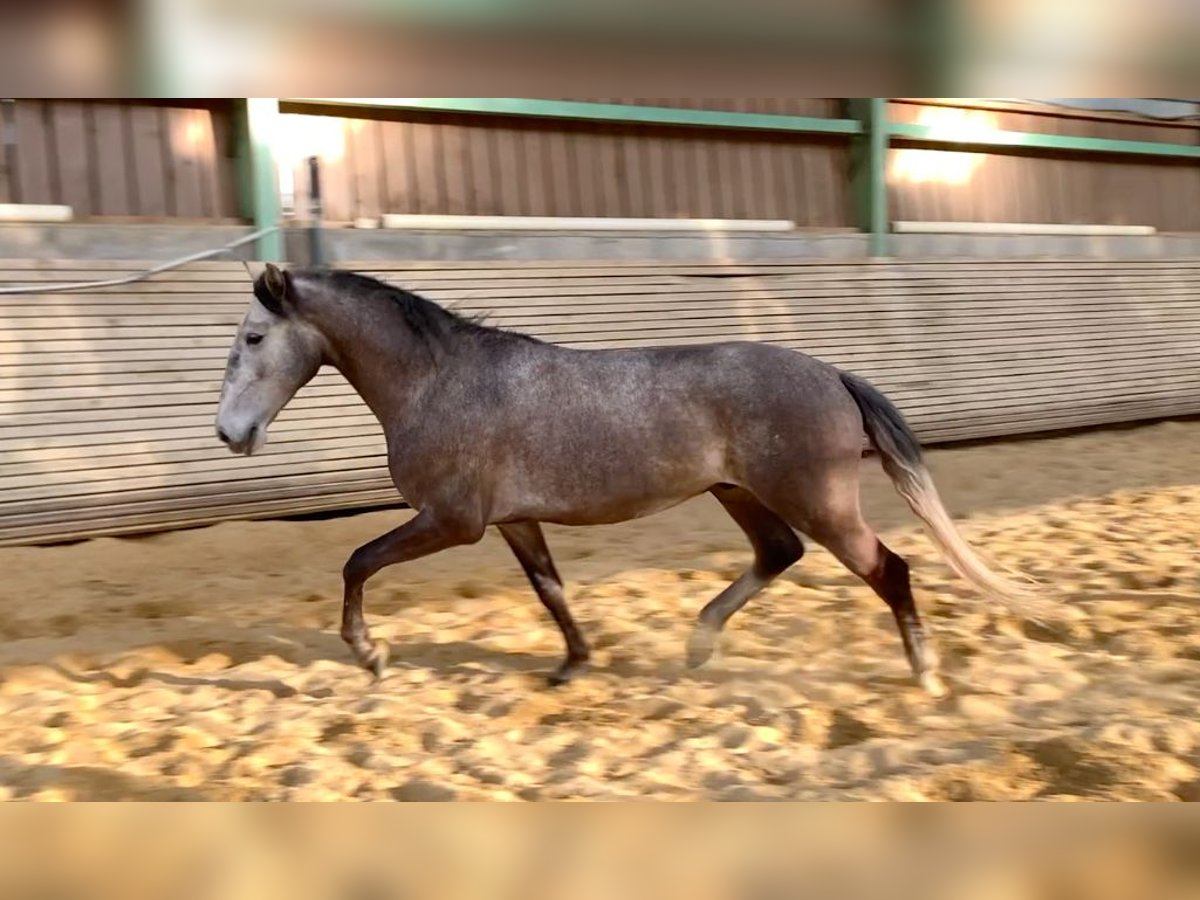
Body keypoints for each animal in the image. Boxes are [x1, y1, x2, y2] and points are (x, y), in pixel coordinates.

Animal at [216, 260, 1041, 696]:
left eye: (253, 338)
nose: (230, 434)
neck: (440, 381)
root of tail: (834, 375)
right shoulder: (513, 520)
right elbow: (550, 590)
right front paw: (572, 666)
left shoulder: (452, 522)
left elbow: (357, 561)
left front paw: (371, 653)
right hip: (741, 494)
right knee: (780, 554)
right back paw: (699, 647)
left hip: (820, 501)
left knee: (889, 568)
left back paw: (925, 674)